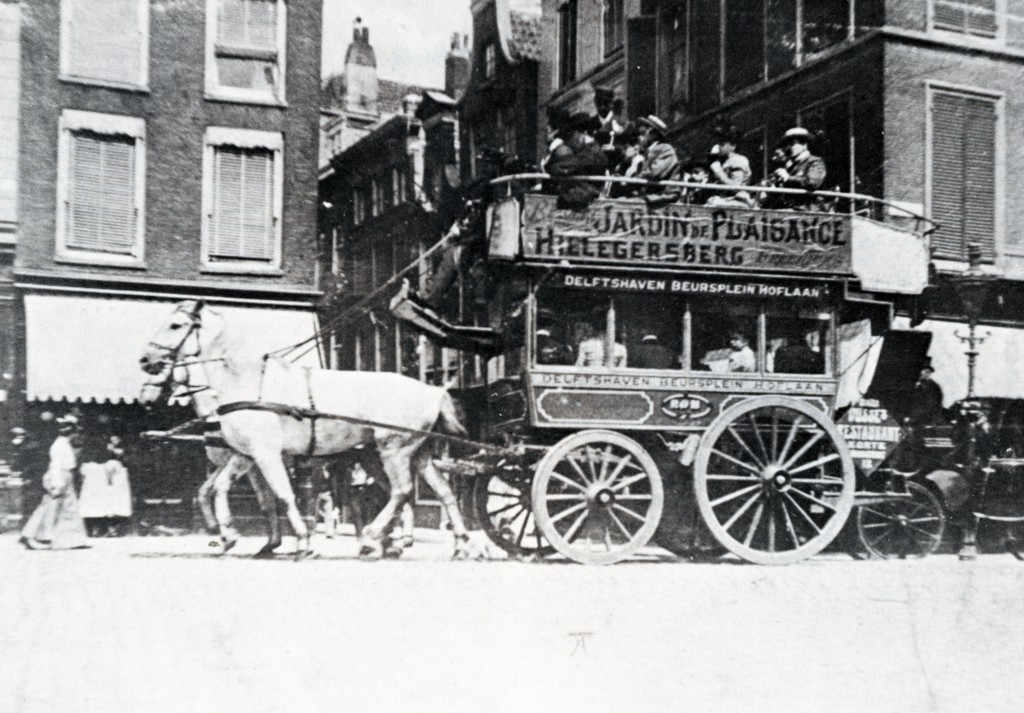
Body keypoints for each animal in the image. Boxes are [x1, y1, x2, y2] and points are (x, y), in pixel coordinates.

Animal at [141, 297, 475, 561]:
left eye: (175, 325)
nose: (146, 360)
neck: (249, 383)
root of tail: (432, 390)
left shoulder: (265, 455)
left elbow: (282, 495)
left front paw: (302, 542)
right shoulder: (246, 455)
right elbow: (220, 488)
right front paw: (230, 535)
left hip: (394, 450)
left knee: (401, 492)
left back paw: (374, 538)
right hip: (414, 453)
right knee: (441, 492)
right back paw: (456, 545)